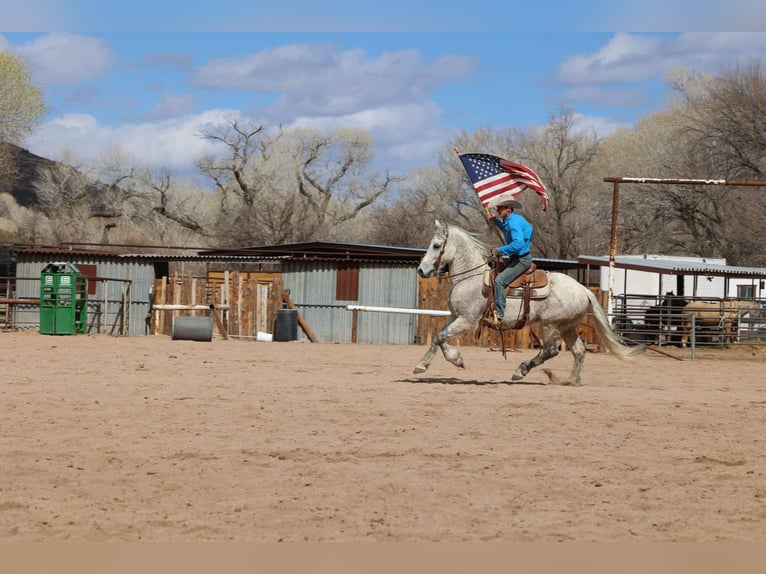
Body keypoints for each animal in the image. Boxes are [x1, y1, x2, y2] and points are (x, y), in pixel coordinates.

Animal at [414, 221, 644, 385]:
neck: (471, 277)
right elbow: (438, 338)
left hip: (550, 325)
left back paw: (521, 370)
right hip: (567, 326)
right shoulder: (454, 316)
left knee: (550, 350)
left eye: (436, 246)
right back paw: (572, 381)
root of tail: (583, 289)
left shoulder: (467, 320)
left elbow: (441, 337)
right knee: (579, 351)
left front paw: (456, 360)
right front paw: (423, 365)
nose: (421, 270)